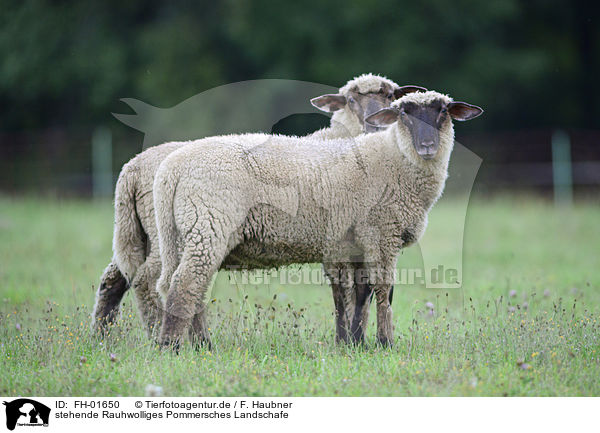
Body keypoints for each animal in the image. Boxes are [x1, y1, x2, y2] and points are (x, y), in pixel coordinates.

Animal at [91, 74, 424, 338]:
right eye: (351, 100)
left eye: (391, 96)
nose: (373, 124)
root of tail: (132, 169)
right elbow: (352, 293)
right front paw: (352, 340)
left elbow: (353, 293)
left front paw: (353, 339)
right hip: (179, 232)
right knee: (153, 282)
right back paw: (160, 334)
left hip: (140, 233)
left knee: (116, 277)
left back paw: (103, 335)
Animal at [154, 88, 482, 348]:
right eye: (403, 113)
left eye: (443, 111)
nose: (427, 146)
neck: (394, 159)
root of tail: (171, 169)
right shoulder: (382, 232)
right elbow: (383, 290)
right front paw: (385, 342)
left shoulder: (357, 241)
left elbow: (361, 293)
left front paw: (356, 342)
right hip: (207, 224)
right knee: (185, 285)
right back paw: (173, 347)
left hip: (183, 233)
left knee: (183, 285)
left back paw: (200, 345)